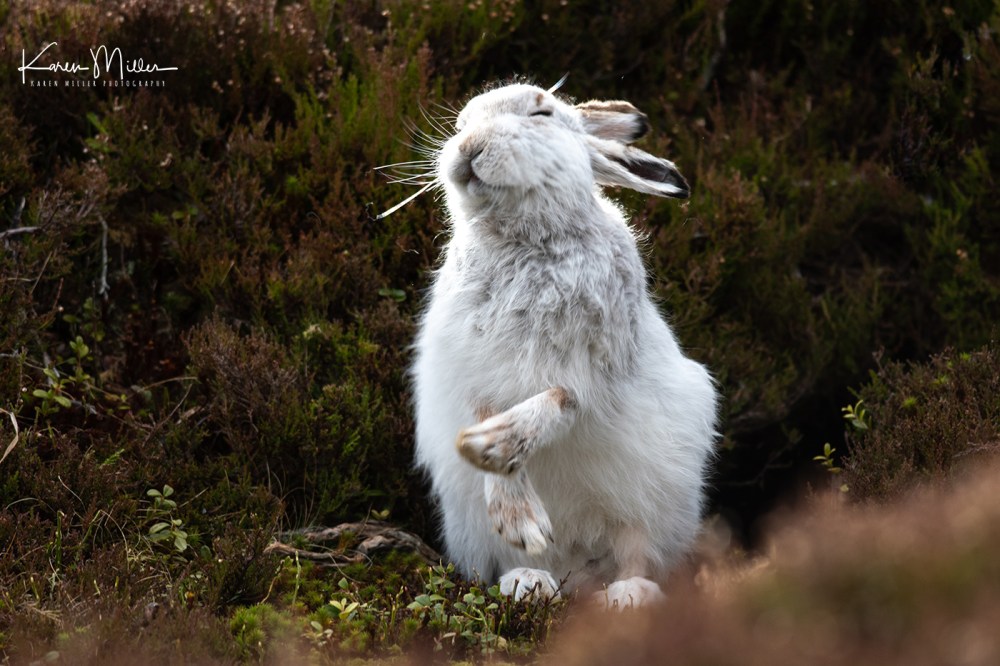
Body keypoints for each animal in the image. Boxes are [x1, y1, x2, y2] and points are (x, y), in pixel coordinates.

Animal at [409, 81, 719, 609]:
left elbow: (560, 398)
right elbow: (485, 412)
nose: (469, 147)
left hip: (657, 500)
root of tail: (580, 571)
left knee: (638, 550)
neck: (524, 241)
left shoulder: (598, 371)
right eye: (461, 124)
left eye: (541, 114)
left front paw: (491, 445)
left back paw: (628, 595)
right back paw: (528, 581)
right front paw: (510, 499)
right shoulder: (469, 371)